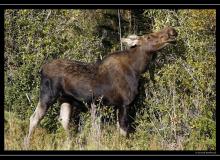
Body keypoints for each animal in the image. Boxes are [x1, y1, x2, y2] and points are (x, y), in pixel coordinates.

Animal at [24, 26, 178, 148]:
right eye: (149, 36)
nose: (171, 31)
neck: (137, 68)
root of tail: (42, 69)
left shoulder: (116, 105)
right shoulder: (124, 103)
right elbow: (124, 131)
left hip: (65, 99)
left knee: (64, 121)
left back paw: (71, 144)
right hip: (48, 95)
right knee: (34, 118)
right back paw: (27, 143)